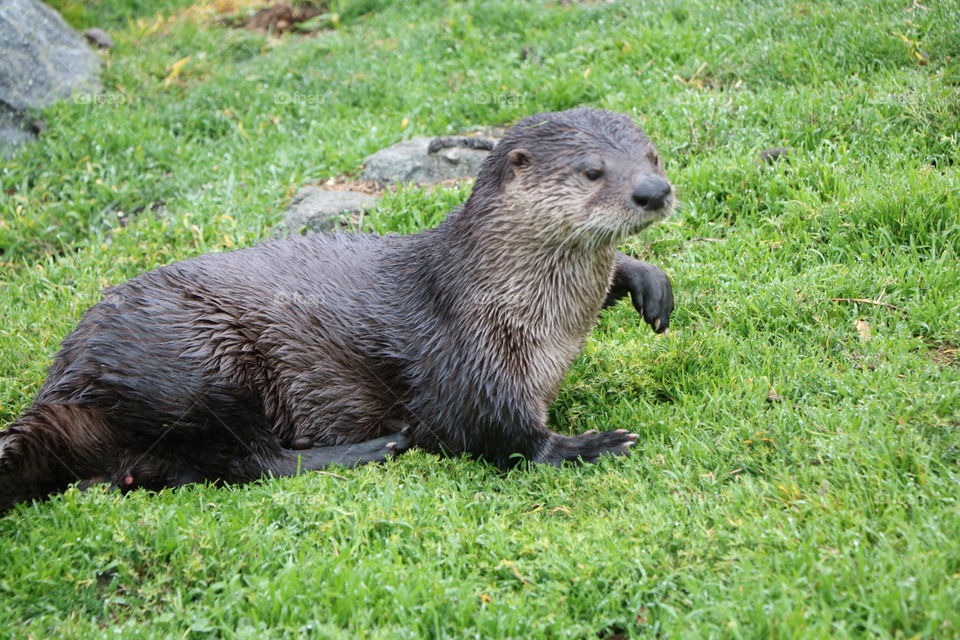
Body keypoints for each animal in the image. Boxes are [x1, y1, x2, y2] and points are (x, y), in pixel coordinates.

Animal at [0, 107, 672, 512]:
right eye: (593, 171)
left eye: (653, 155)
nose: (654, 191)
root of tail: (68, 377)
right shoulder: (467, 355)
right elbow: (495, 433)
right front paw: (588, 445)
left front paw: (646, 280)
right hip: (198, 361)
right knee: (250, 461)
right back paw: (371, 448)